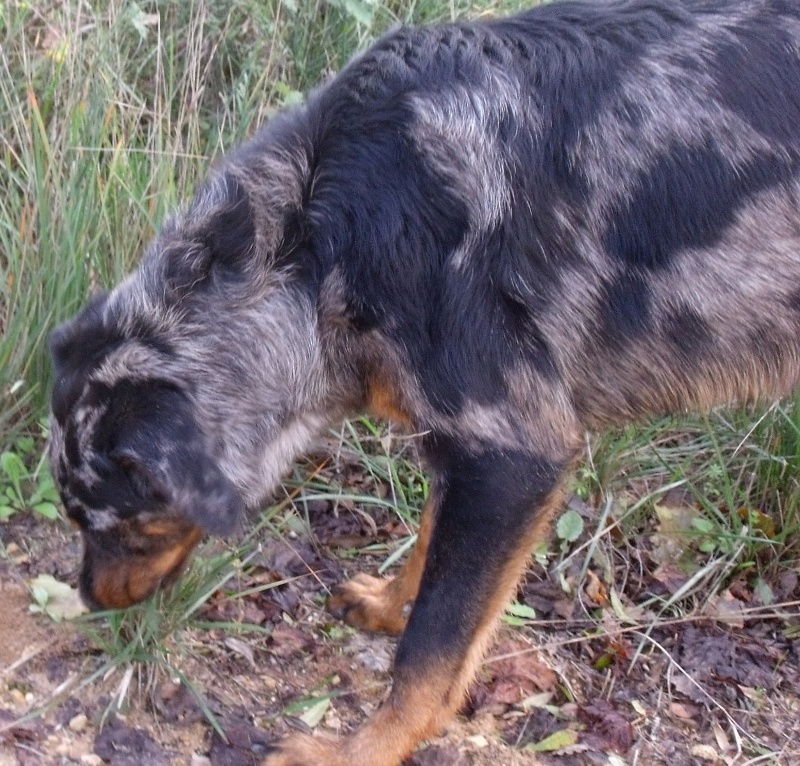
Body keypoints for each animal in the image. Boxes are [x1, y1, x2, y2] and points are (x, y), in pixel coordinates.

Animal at [48, 0, 800, 764]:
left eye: (115, 524)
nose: (88, 600)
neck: (317, 240)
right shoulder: (463, 446)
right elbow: (429, 548)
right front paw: (388, 603)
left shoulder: (513, 456)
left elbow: (431, 653)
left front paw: (359, 751)